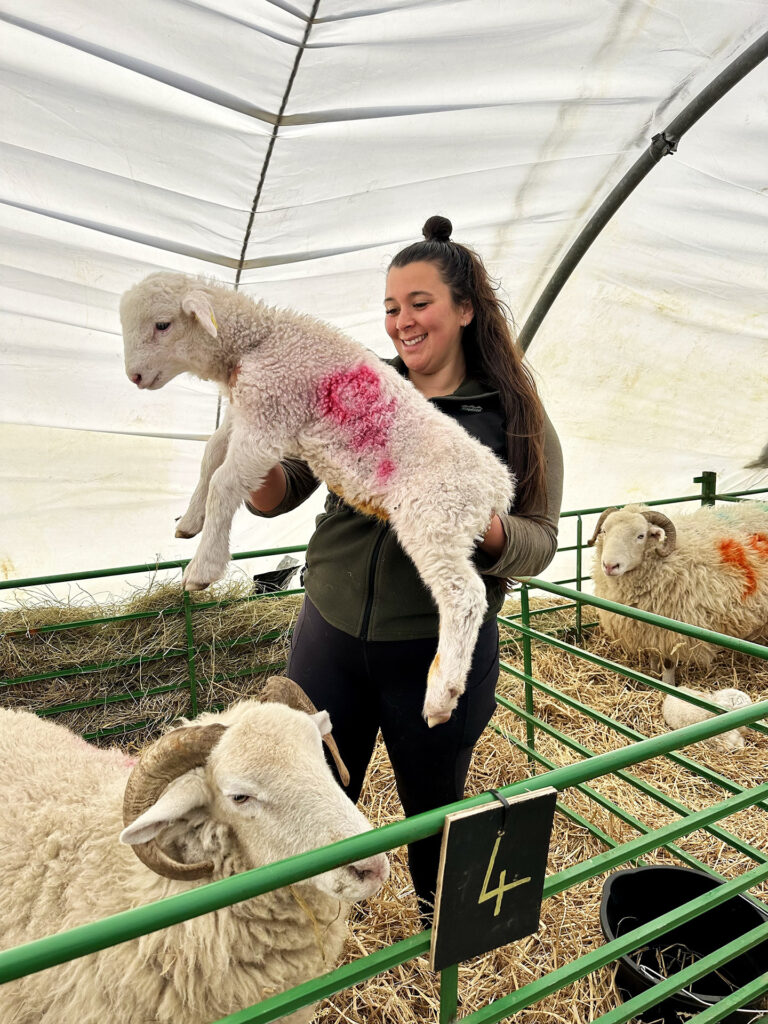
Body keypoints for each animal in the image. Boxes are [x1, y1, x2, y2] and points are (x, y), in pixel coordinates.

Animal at [121, 272, 518, 729]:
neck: (260, 339)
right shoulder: (248, 412)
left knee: (464, 596)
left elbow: (223, 483)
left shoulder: (270, 414)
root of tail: (497, 486)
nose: (134, 376)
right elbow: (210, 455)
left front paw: (204, 567)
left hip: (436, 517)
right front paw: (190, 521)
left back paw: (441, 694)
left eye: (162, 325)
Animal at [589, 499, 768, 684]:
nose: (610, 566)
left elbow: (668, 663)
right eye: (604, 531)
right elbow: (653, 654)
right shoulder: (648, 628)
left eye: (641, 536)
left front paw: (668, 684)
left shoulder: (673, 631)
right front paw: (652, 675)